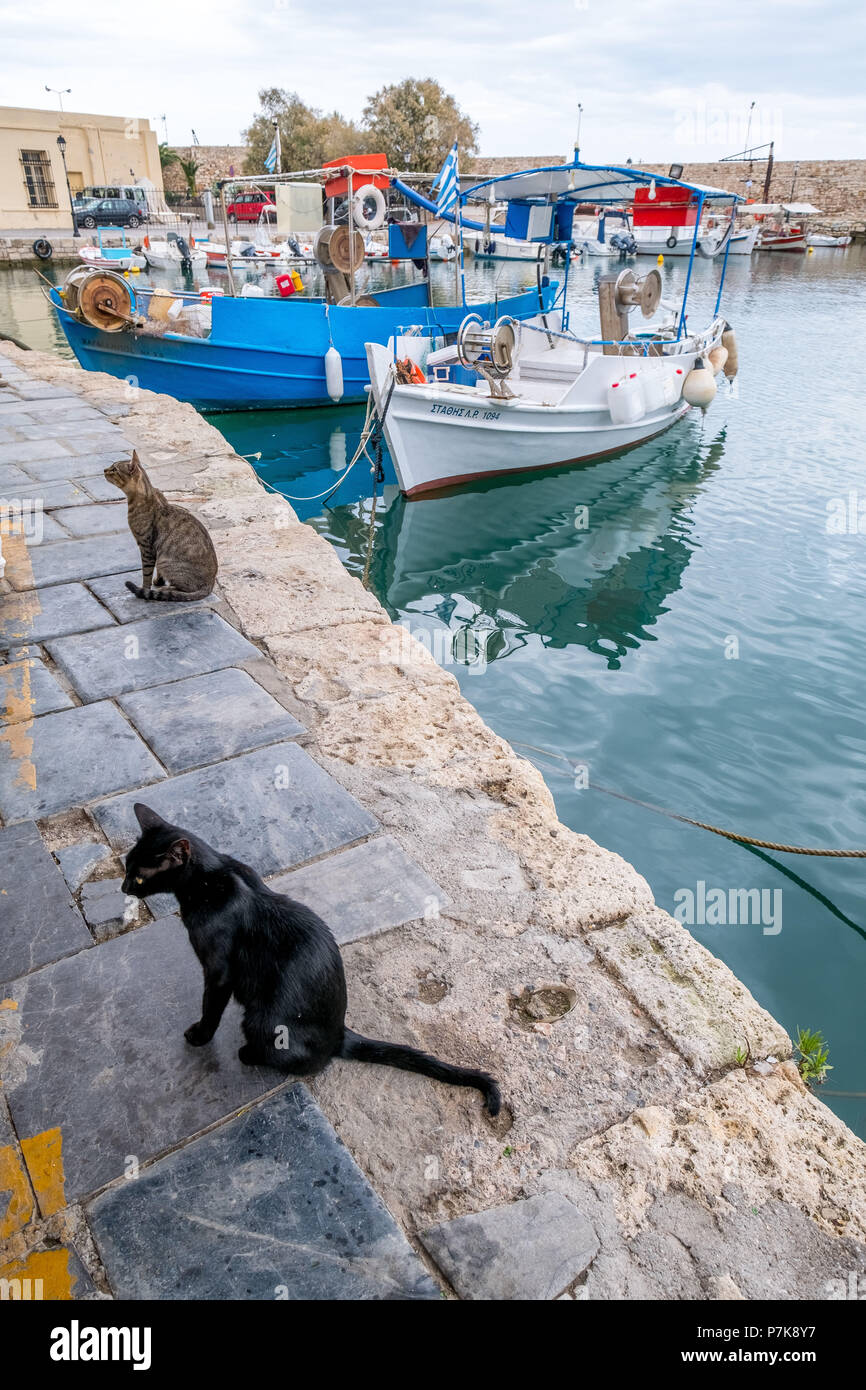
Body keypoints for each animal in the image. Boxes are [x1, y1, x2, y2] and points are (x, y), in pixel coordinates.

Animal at [104, 453, 216, 600]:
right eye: (111, 467)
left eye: (114, 469)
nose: (104, 470)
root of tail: (210, 584)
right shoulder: (155, 550)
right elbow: (157, 572)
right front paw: (158, 581)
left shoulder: (146, 547)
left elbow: (146, 573)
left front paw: (145, 589)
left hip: (166, 561)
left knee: (185, 589)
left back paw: (167, 588)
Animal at [122, 800, 500, 1112]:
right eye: (126, 866)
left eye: (139, 877)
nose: (124, 888)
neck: (212, 876)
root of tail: (340, 1033)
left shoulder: (218, 972)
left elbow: (210, 1009)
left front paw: (200, 1036)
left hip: (262, 1021)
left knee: (300, 1061)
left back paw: (248, 1053)